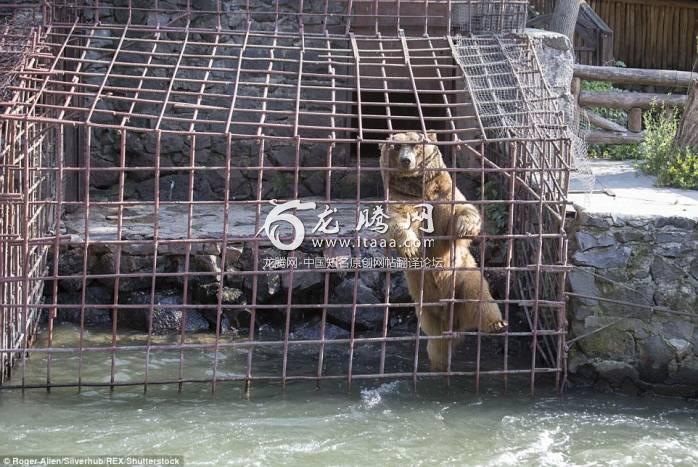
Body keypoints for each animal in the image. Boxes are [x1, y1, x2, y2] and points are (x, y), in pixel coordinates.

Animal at [380, 133, 506, 372]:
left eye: (416, 145)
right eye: (396, 147)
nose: (406, 161)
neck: (419, 187)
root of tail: (454, 320)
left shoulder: (444, 195)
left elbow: (462, 210)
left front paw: (464, 226)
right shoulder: (402, 199)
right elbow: (398, 220)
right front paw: (410, 246)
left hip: (464, 277)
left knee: (481, 300)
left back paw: (497, 325)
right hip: (424, 305)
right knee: (436, 342)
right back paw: (438, 362)